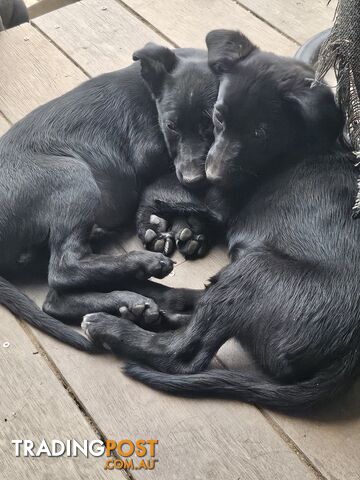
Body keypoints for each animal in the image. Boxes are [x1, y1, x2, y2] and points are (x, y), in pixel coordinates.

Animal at [0, 44, 217, 348]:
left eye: (212, 124)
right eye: (171, 126)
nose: (192, 178)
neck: (151, 98)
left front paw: (185, 229)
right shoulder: (151, 158)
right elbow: (163, 187)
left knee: (55, 298)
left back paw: (132, 303)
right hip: (74, 176)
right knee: (64, 267)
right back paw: (143, 265)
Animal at [82, 30, 360, 412]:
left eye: (261, 133)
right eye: (218, 116)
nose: (208, 176)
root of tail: (348, 358)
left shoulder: (218, 197)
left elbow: (158, 185)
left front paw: (150, 219)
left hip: (254, 271)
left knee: (183, 352)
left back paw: (112, 326)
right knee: (191, 304)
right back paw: (148, 305)